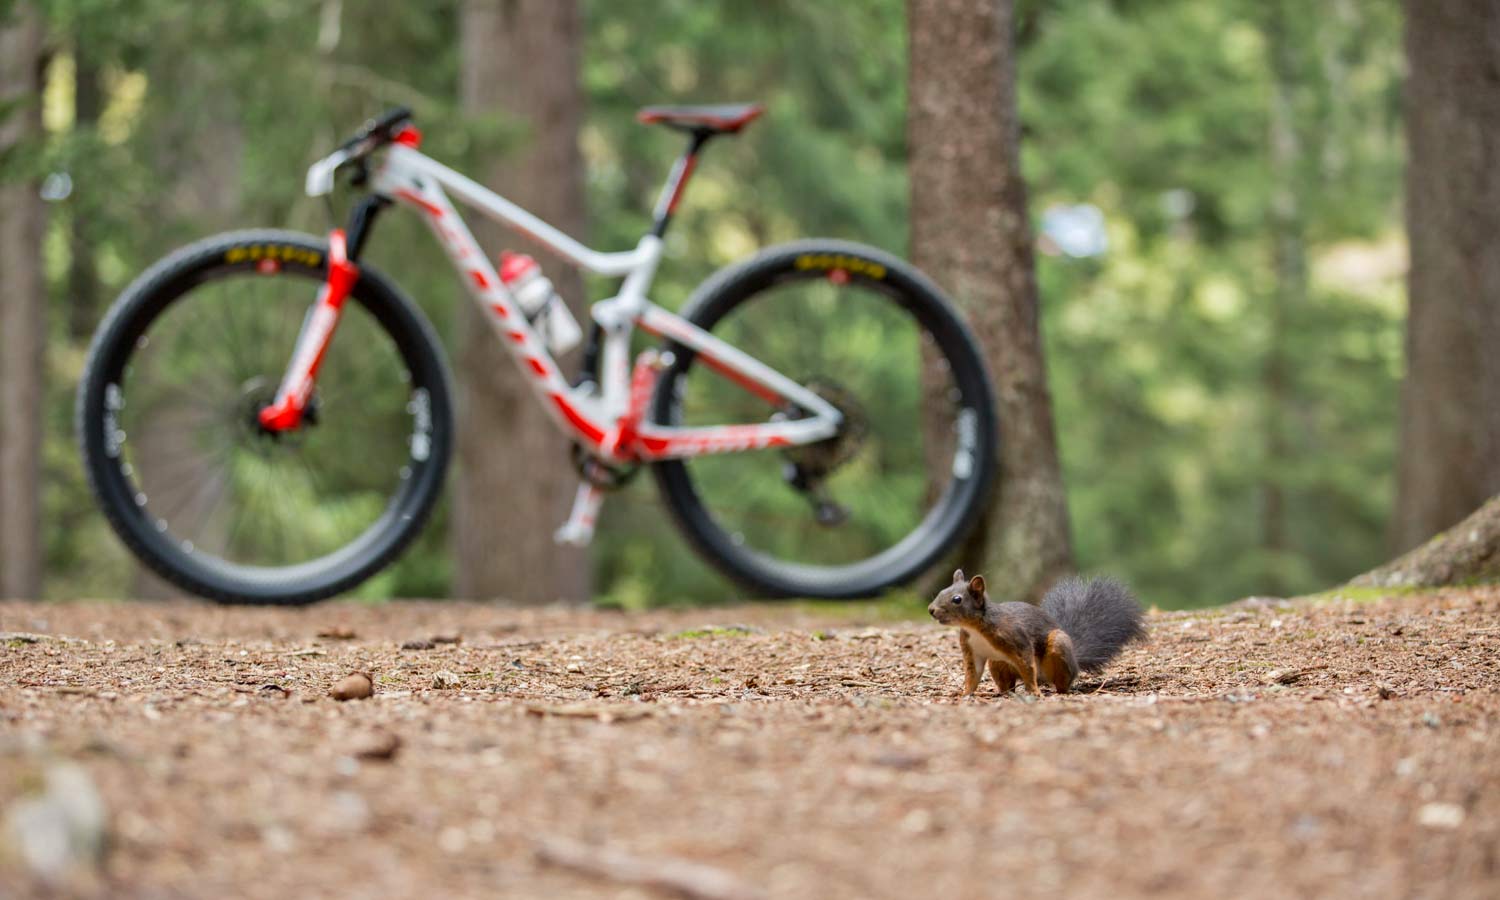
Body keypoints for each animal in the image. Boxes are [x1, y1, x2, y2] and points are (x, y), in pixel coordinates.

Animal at [928, 569, 1146, 697]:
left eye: (957, 599)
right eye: (941, 591)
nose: (931, 610)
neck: (975, 628)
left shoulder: (1017, 640)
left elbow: (1027, 666)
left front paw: (1035, 693)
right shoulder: (972, 651)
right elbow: (972, 675)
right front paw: (965, 694)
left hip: (1058, 648)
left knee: (1062, 681)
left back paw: (1055, 691)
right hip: (998, 663)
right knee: (1009, 684)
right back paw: (1006, 694)